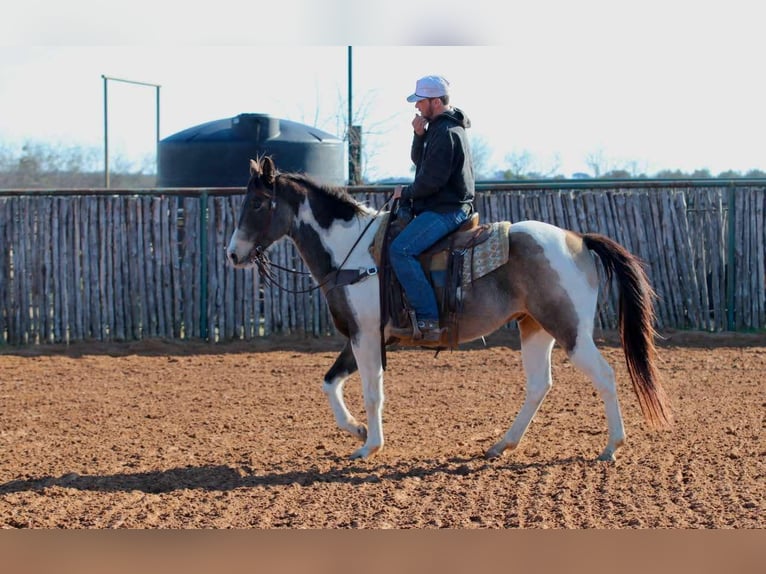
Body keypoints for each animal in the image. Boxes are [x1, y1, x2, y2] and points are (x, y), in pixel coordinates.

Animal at [227, 156, 672, 462]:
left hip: (570, 330)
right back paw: (501, 444)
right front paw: (356, 431)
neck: (351, 251)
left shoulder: (366, 336)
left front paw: (370, 445)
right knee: (538, 385)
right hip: (534, 327)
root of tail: (577, 238)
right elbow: (329, 383)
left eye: (259, 203)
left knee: (605, 375)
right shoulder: (359, 336)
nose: (233, 254)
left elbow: (372, 392)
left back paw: (611, 446)